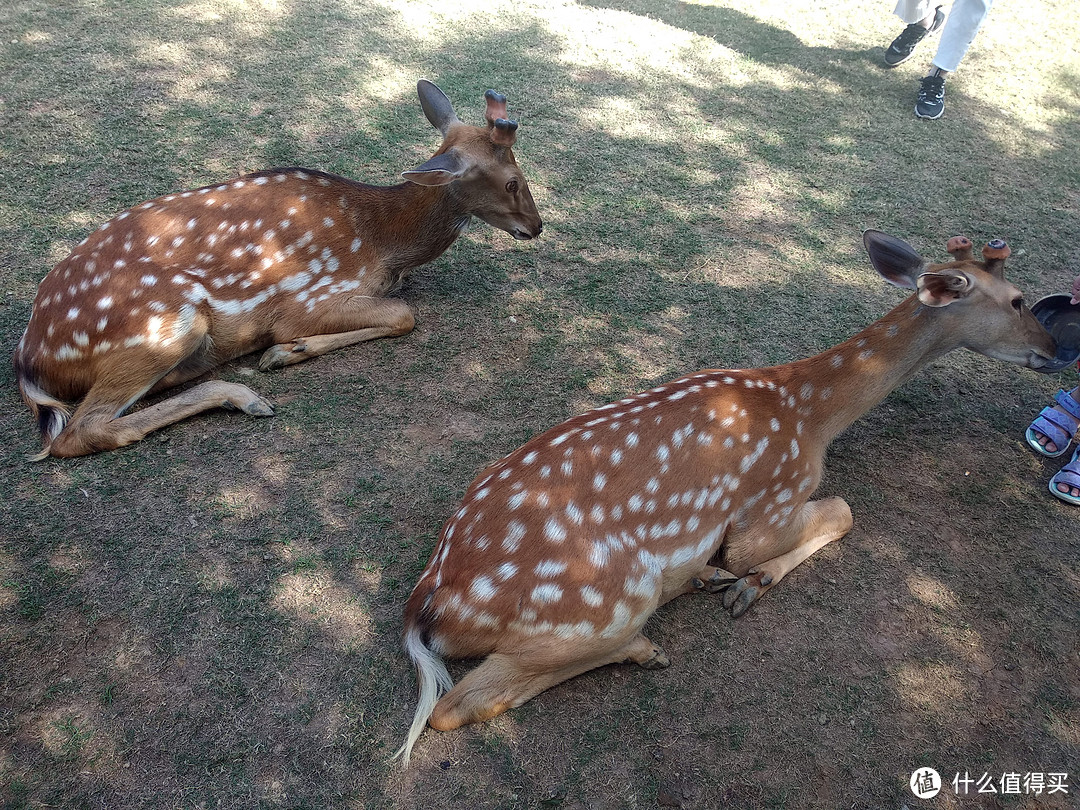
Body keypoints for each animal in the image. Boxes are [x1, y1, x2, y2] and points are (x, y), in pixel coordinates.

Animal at [13, 79, 544, 460]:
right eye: (512, 180)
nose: (537, 226)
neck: (384, 241)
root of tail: (30, 361)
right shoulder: (307, 296)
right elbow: (402, 315)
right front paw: (286, 350)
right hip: (167, 320)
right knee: (77, 433)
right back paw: (243, 392)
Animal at [393, 230, 1058, 768]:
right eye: (1019, 299)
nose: (1056, 351)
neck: (809, 417)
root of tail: (428, 606)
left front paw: (737, 583)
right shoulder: (770, 501)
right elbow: (839, 512)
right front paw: (748, 582)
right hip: (602, 599)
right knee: (456, 705)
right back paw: (651, 641)